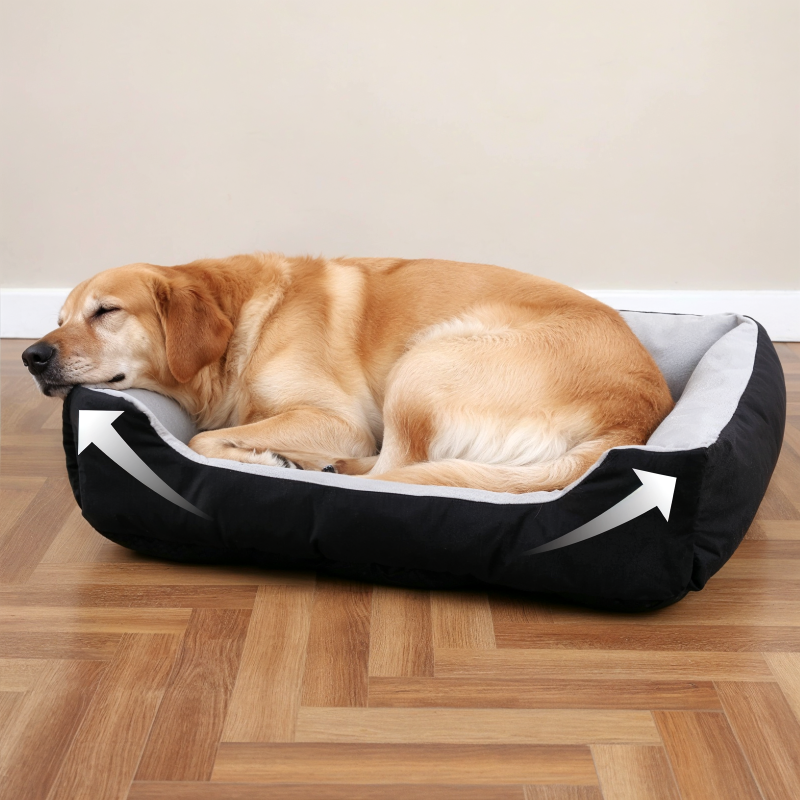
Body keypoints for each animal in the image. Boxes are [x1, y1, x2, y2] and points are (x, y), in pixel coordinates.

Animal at [22, 253, 674, 492]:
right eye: (60, 319)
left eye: (106, 311)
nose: (32, 357)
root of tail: (633, 417)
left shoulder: (339, 421)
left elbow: (205, 440)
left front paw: (266, 458)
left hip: (426, 362)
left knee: (392, 470)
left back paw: (319, 467)